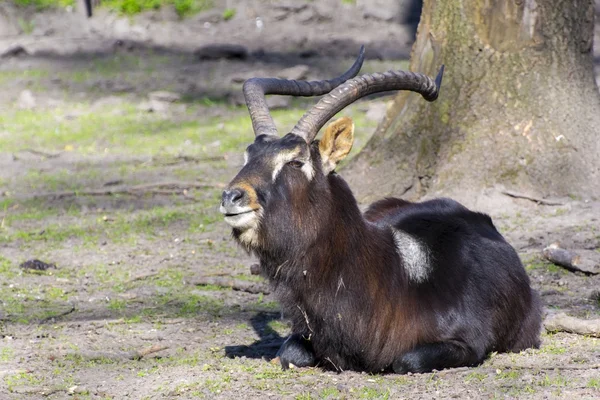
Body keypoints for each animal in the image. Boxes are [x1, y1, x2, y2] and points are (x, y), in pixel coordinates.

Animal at [220, 47, 544, 376]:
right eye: (249, 155)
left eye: (296, 161)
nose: (231, 196)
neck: (394, 274)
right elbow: (291, 352)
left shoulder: (467, 345)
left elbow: (406, 360)